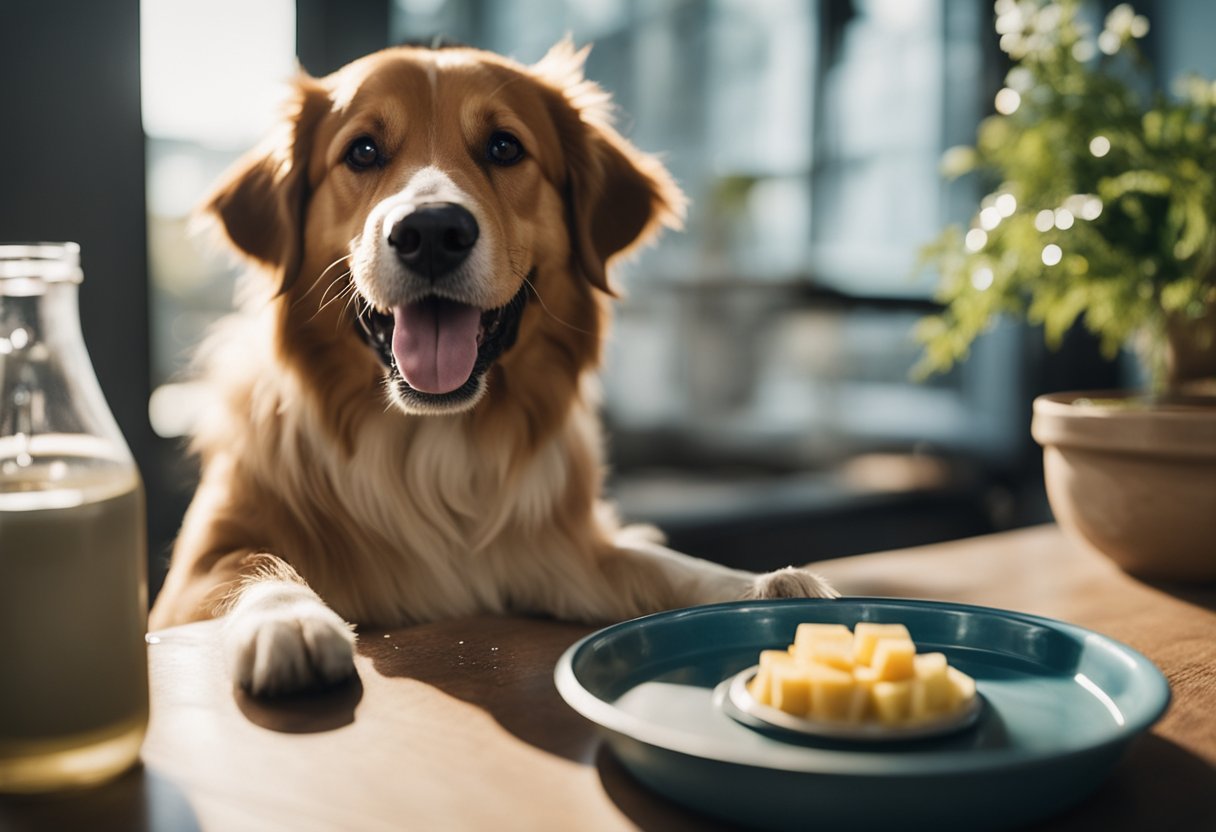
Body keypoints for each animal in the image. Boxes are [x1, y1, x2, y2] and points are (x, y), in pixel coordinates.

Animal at [147, 42, 836, 700]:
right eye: (362, 151)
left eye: (504, 147)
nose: (430, 231)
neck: (428, 443)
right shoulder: (190, 578)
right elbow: (255, 564)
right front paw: (289, 620)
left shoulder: (560, 552)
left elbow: (663, 565)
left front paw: (769, 587)